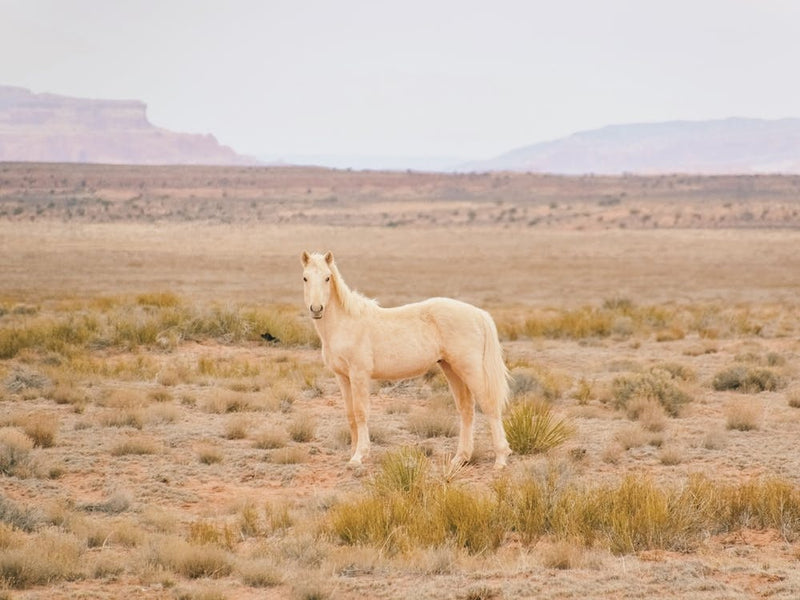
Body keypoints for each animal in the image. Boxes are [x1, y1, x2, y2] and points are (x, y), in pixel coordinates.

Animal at [301, 251, 512, 469]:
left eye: (327, 277)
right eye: (305, 278)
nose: (316, 309)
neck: (346, 323)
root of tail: (479, 313)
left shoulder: (359, 374)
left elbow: (360, 412)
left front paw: (359, 456)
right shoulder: (342, 377)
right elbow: (350, 414)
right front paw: (352, 454)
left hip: (470, 369)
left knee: (489, 405)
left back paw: (500, 459)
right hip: (452, 369)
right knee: (466, 409)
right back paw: (459, 458)